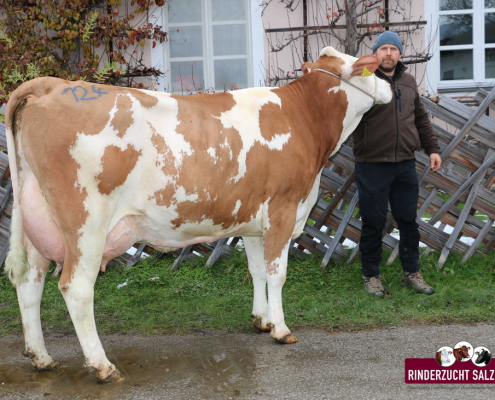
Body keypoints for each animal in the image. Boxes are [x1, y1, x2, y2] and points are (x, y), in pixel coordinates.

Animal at [2, 46, 392, 382]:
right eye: (368, 67)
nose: (390, 85)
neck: (303, 117)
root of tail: (54, 84)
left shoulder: (254, 221)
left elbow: (256, 271)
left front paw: (261, 320)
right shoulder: (283, 210)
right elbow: (277, 274)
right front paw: (281, 329)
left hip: (36, 220)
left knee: (30, 282)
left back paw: (41, 357)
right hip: (86, 224)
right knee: (77, 288)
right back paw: (102, 366)